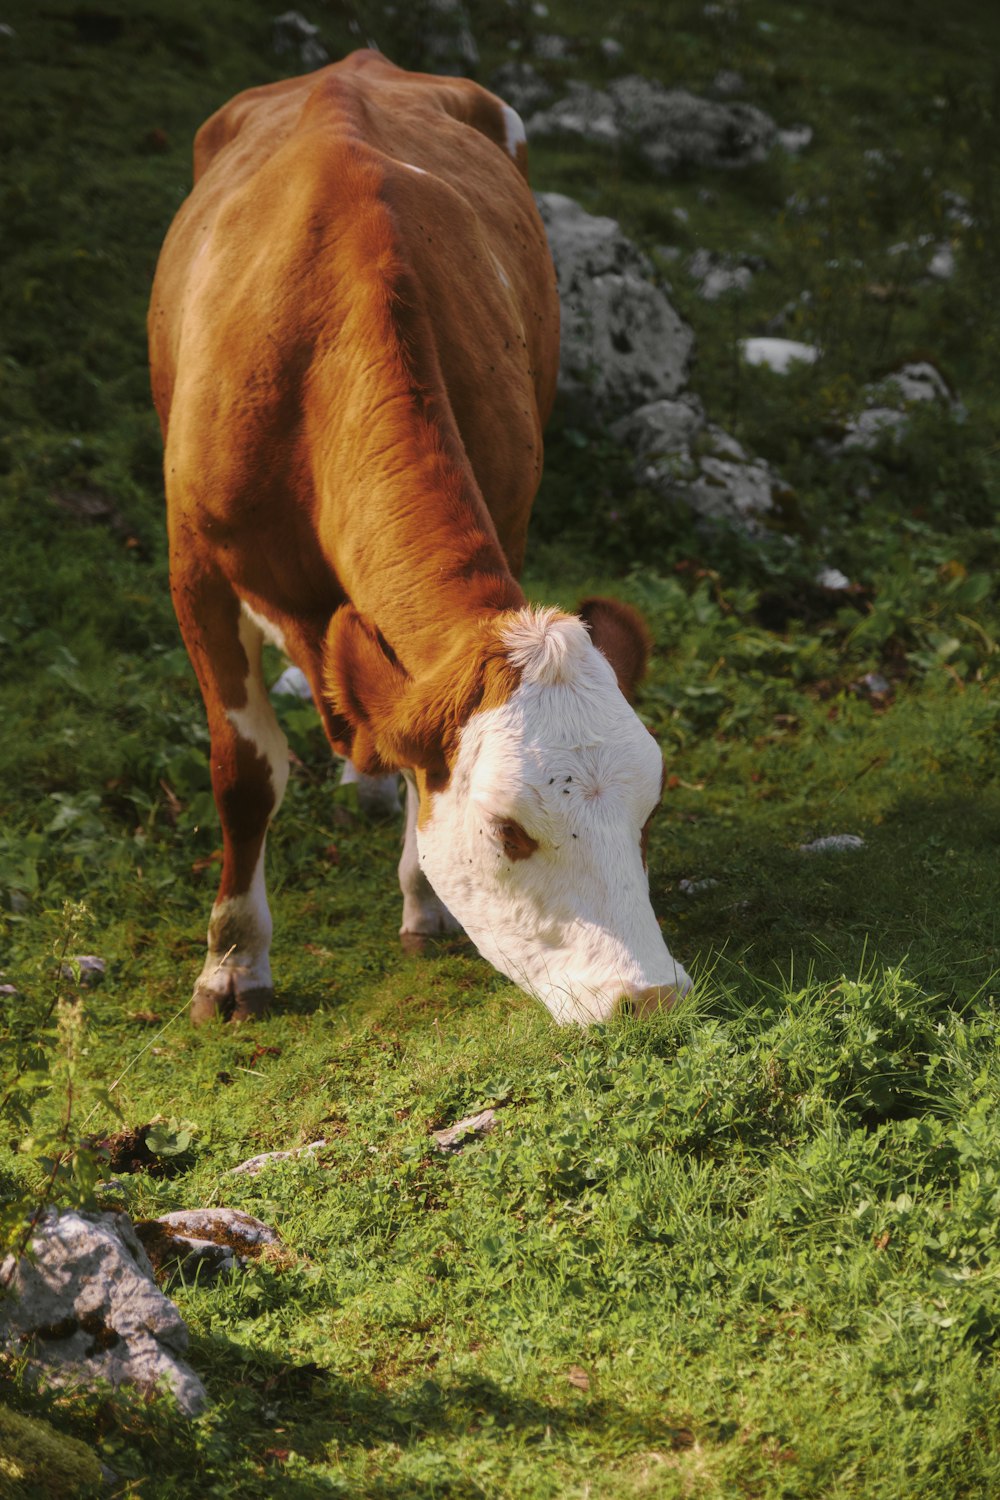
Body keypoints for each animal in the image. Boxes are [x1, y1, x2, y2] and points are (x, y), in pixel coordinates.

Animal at [148, 49, 692, 1032]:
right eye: (509, 832)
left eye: (648, 812)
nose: (651, 997)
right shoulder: (195, 564)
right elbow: (244, 771)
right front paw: (233, 966)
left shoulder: (505, 515)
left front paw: (423, 901)